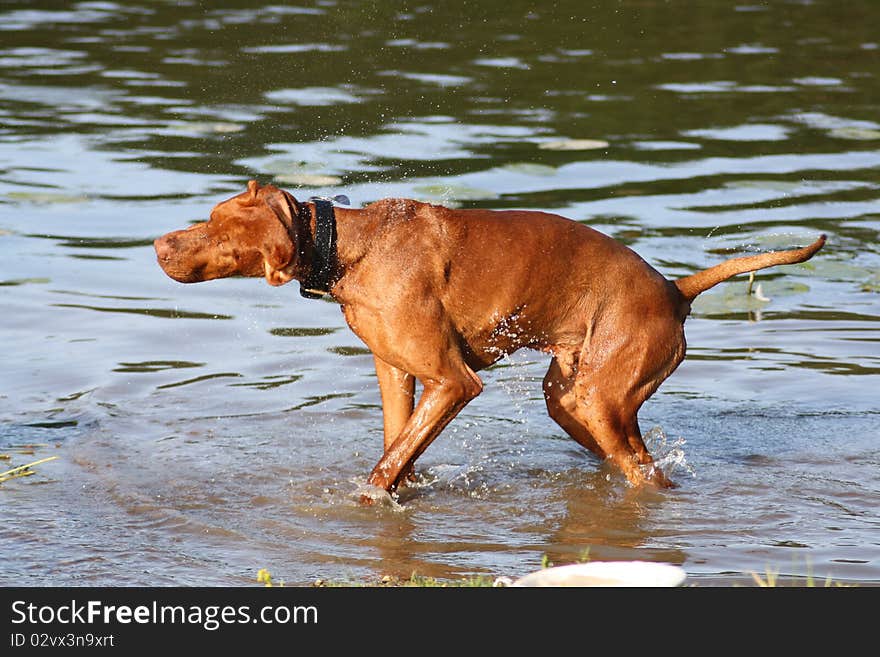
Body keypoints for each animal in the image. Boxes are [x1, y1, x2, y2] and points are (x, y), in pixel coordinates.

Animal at [156, 179, 824, 492]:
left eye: (216, 227)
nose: (159, 243)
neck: (346, 248)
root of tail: (674, 289)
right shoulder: (397, 373)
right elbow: (398, 447)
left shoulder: (454, 382)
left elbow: (385, 466)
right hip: (574, 401)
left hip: (601, 399)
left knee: (648, 474)